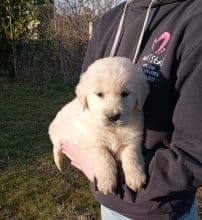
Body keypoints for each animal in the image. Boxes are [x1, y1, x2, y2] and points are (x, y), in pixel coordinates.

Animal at [48, 56, 150, 194]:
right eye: (99, 94)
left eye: (125, 94)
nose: (113, 117)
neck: (112, 130)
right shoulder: (91, 142)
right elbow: (104, 159)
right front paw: (107, 183)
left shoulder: (133, 138)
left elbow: (132, 154)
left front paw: (136, 177)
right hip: (58, 132)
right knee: (56, 148)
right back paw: (59, 163)